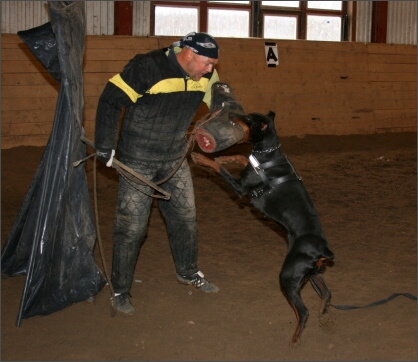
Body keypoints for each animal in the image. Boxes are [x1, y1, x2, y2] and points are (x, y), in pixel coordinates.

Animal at [191, 111, 334, 346]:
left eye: (248, 119)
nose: (232, 114)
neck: (269, 156)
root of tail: (323, 250)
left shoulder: (240, 189)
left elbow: (219, 169)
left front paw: (201, 158)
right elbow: (242, 158)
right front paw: (226, 157)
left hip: (289, 276)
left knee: (303, 311)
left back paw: (294, 339)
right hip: (313, 274)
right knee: (326, 294)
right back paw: (323, 317)